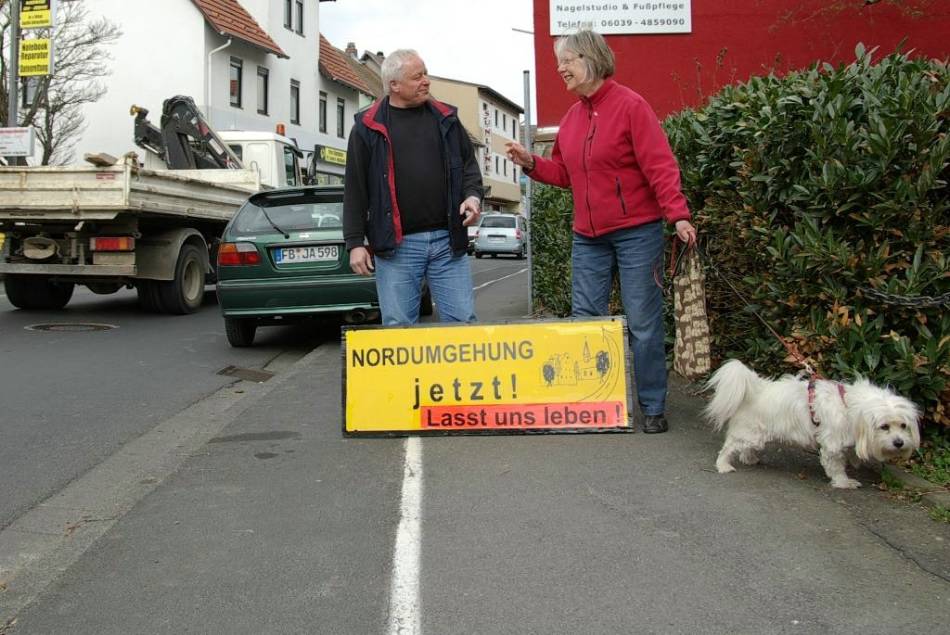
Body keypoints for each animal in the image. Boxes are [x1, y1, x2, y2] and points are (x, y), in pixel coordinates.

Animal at [704, 360, 920, 490]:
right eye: (884, 426)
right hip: (750, 433)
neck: (849, 406)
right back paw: (723, 466)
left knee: (745, 448)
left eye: (903, 425)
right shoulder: (832, 445)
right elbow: (836, 466)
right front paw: (844, 482)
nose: (899, 443)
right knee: (728, 448)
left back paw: (750, 458)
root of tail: (756, 388)